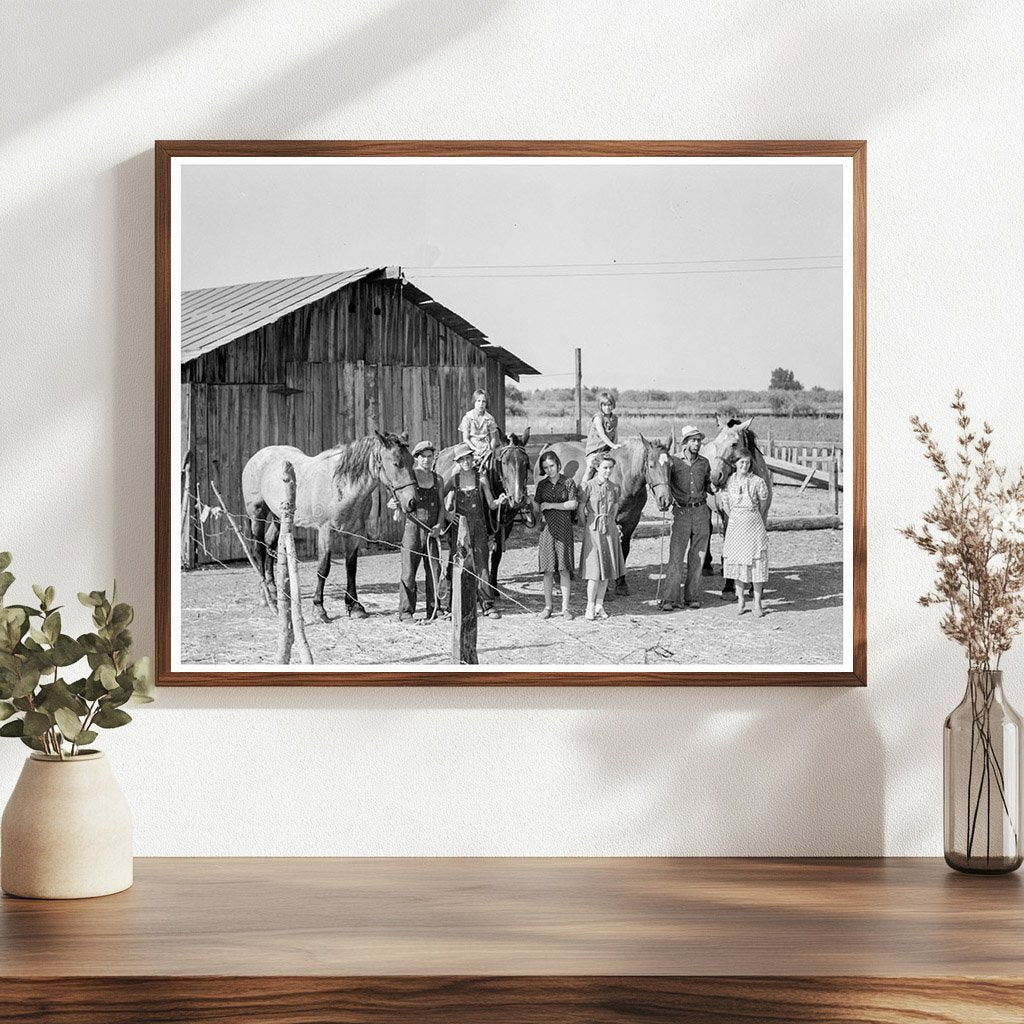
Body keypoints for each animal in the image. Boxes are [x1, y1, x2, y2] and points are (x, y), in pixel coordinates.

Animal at [240, 430, 415, 618]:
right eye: (396, 463)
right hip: (258, 514)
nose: (413, 501)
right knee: (258, 549)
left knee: (269, 544)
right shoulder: (325, 531)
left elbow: (351, 567)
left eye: (412, 462)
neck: (341, 485)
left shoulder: (354, 532)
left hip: (279, 517)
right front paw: (318, 607)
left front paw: (354, 606)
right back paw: (265, 595)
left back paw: (273, 589)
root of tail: (257, 457)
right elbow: (324, 568)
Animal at [436, 428, 540, 602]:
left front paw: (493, 588)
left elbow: (496, 555)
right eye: (503, 463)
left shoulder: (504, 527)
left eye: (526, 463)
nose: (517, 499)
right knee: (452, 548)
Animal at [532, 436, 675, 598]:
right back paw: (557, 576)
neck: (623, 479)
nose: (665, 500)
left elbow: (624, 550)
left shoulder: (631, 522)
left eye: (671, 465)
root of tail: (548, 448)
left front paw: (621, 584)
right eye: (651, 466)